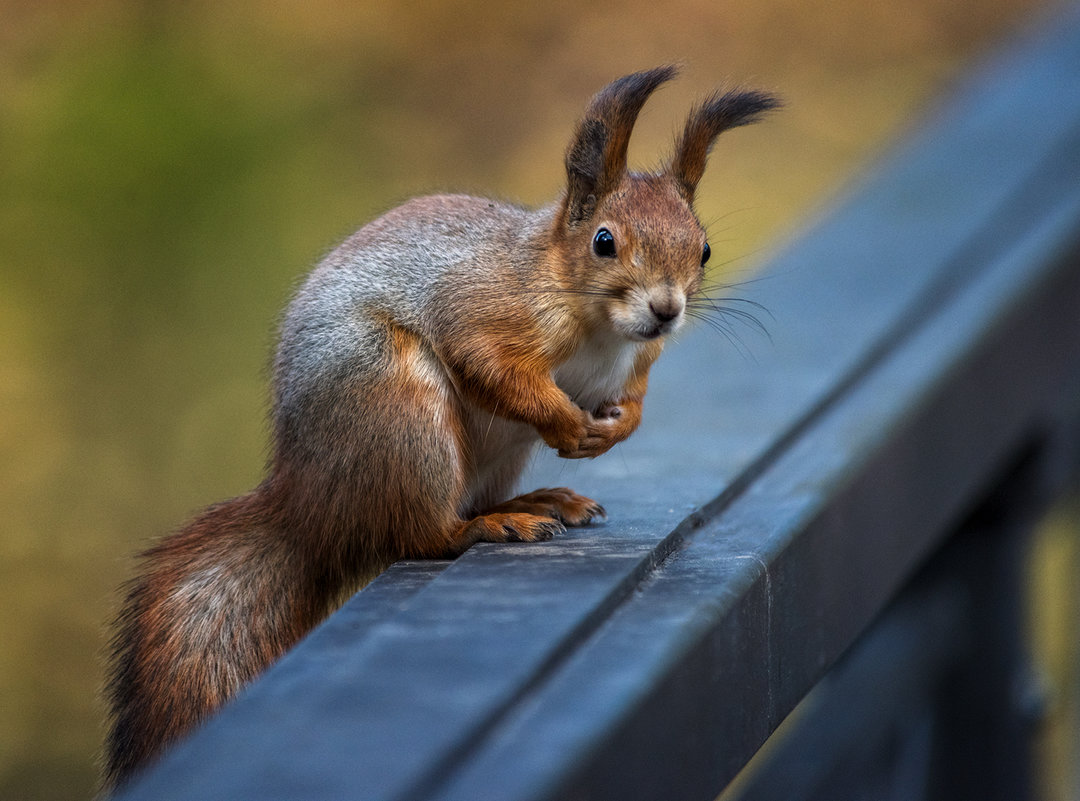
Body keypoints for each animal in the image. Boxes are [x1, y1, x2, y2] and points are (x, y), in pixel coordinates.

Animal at [103, 64, 777, 790]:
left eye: (703, 248)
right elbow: (491, 366)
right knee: (420, 533)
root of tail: (307, 505)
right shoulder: (485, 310)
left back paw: (536, 501)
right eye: (605, 242)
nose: (666, 309)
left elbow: (636, 395)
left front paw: (615, 428)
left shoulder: (638, 361)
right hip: (398, 406)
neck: (594, 322)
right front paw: (568, 424)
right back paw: (490, 525)